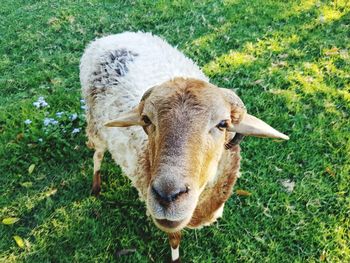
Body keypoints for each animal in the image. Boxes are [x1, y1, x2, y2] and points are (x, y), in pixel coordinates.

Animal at [80, 32, 290, 262]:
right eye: (147, 119)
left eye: (223, 124)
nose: (167, 196)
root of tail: (111, 37)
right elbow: (174, 238)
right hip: (96, 126)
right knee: (98, 155)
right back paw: (96, 186)